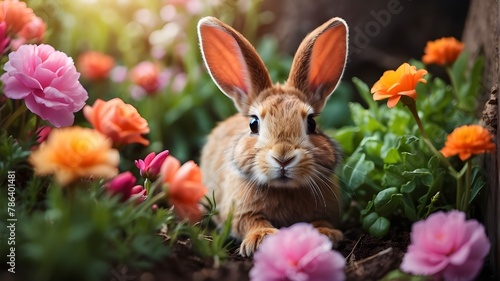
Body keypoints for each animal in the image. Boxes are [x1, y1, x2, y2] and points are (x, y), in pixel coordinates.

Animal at [198, 15, 348, 256]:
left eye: (312, 123)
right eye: (253, 124)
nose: (283, 157)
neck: (283, 189)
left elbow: (321, 221)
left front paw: (325, 235)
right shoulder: (240, 213)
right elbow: (250, 222)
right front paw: (261, 239)